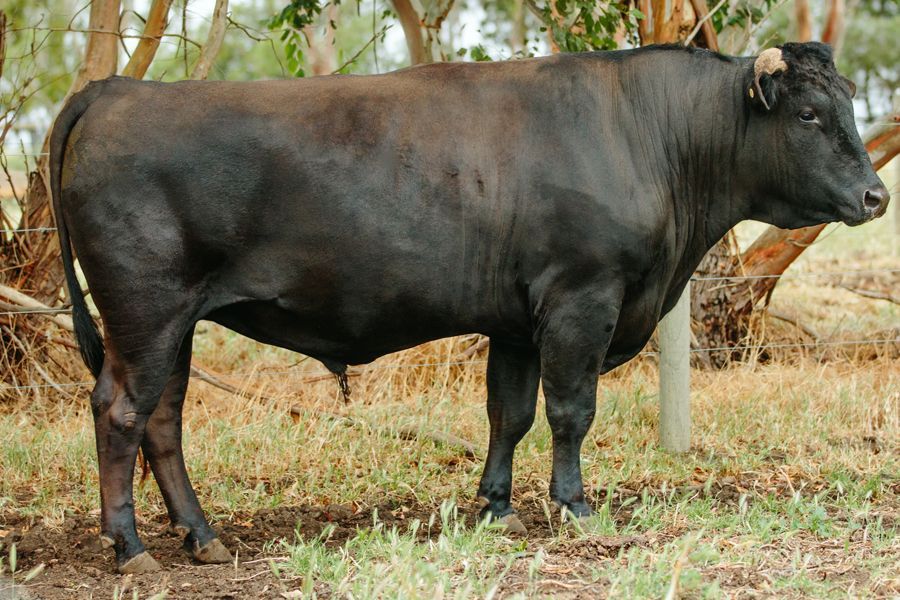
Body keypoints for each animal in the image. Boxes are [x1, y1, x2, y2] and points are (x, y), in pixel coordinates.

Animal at [50, 41, 889, 573]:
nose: (877, 196)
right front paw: (575, 507)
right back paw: (131, 548)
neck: (647, 134)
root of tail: (117, 89)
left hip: (175, 322)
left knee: (163, 422)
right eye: (808, 116)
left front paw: (496, 507)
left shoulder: (517, 321)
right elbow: (570, 412)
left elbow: (508, 414)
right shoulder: (582, 298)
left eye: (849, 105)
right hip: (147, 309)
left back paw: (202, 537)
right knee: (121, 414)